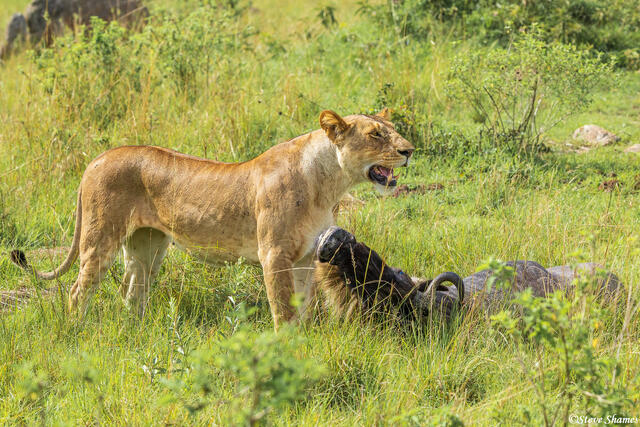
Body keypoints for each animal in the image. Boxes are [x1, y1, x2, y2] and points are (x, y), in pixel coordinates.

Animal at [10, 110, 415, 329]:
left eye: (394, 131)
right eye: (376, 134)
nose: (409, 150)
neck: (329, 183)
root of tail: (98, 157)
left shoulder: (305, 256)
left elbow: (303, 308)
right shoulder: (274, 254)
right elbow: (283, 309)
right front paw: (286, 348)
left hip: (147, 247)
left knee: (132, 292)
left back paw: (134, 332)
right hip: (100, 239)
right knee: (79, 290)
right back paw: (77, 331)